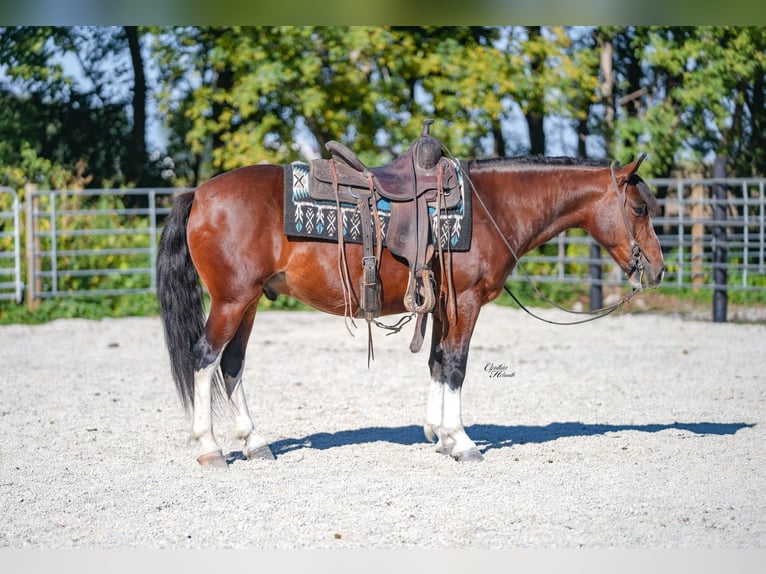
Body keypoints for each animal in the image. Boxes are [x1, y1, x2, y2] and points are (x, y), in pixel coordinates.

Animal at [156, 153, 665, 467]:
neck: (493, 207)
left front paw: (439, 435)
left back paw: (255, 443)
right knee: (204, 359)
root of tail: (199, 194)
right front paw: (462, 442)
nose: (659, 269)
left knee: (232, 364)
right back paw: (209, 448)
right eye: (639, 208)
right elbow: (456, 366)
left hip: (250, 302)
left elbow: (437, 363)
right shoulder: (464, 303)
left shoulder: (439, 308)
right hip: (232, 300)